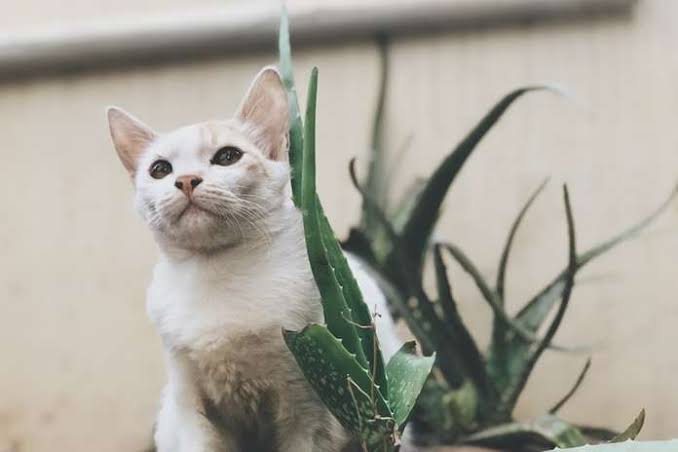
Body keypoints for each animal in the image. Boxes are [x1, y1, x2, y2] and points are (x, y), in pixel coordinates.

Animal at [108, 67, 402, 452]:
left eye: (227, 157)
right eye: (160, 169)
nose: (186, 180)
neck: (217, 272)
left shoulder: (308, 405)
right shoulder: (190, 403)